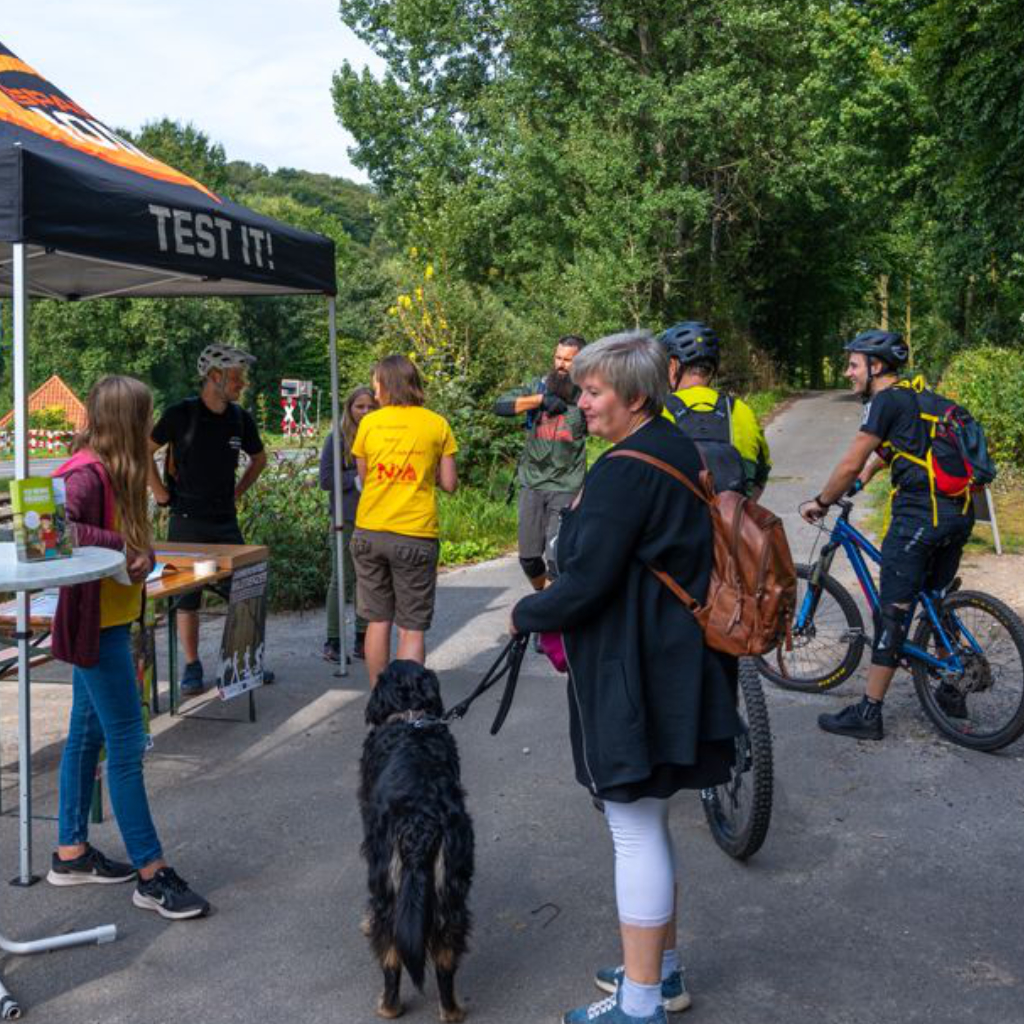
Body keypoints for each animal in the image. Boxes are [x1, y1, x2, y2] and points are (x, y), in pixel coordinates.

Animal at [358, 659, 473, 1019]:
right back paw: (452, 1011)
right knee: (445, 959)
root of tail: (418, 827)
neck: (409, 718)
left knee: (391, 953)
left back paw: (388, 1007)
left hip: (385, 884)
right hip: (452, 890)